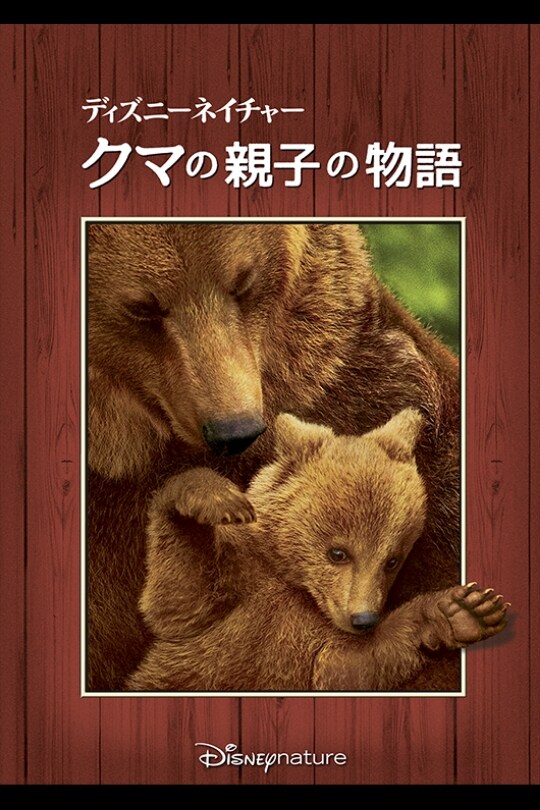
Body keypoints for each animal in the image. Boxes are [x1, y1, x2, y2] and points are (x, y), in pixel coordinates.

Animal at [125, 410, 507, 693]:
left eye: (391, 560)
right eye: (338, 553)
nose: (363, 619)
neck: (294, 583)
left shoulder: (314, 639)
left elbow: (347, 666)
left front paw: (463, 612)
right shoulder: (234, 586)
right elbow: (177, 599)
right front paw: (215, 499)